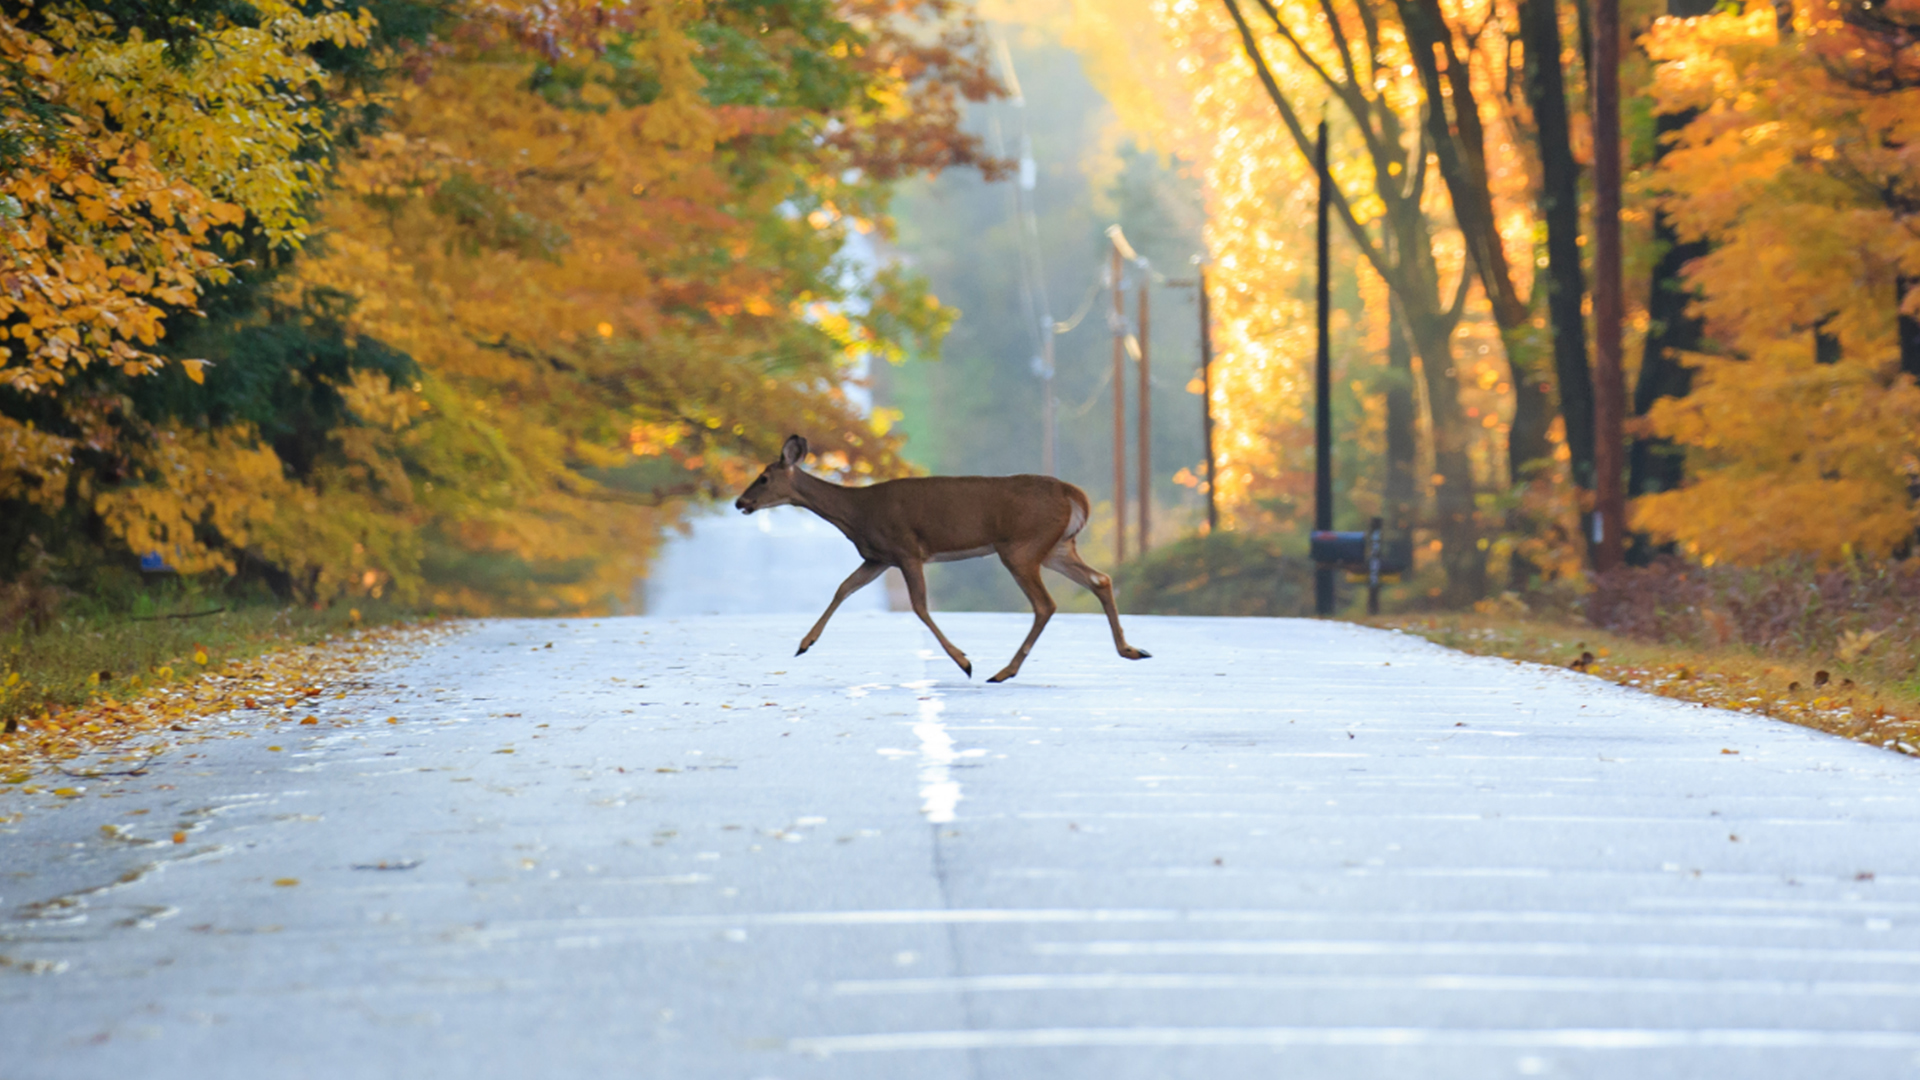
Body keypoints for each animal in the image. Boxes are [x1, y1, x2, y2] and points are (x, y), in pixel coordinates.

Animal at [729, 430, 1152, 676]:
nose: (739, 502)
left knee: (1045, 603)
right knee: (1101, 579)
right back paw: (1131, 650)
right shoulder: (877, 557)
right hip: (1056, 546)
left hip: (1021, 546)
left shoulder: (905, 549)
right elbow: (843, 589)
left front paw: (963, 660)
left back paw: (1004, 670)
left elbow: (918, 606)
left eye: (763, 477)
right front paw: (805, 643)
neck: (856, 513)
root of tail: (1074, 495)